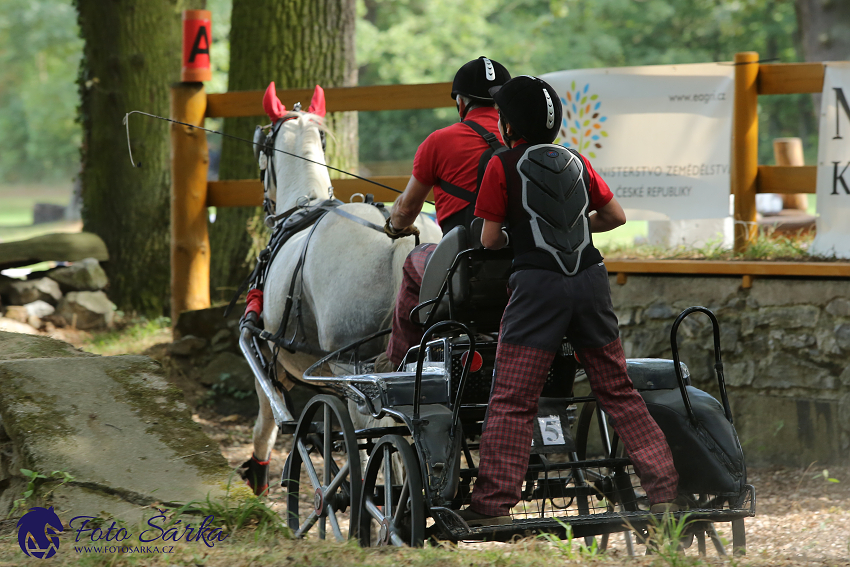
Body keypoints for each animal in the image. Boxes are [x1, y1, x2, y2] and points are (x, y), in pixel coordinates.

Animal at [238, 84, 438, 496]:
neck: (305, 206)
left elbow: (266, 421)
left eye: (260, 145)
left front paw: (258, 476)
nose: (267, 207)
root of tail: (400, 241)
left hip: (351, 371)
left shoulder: (268, 357)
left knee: (376, 439)